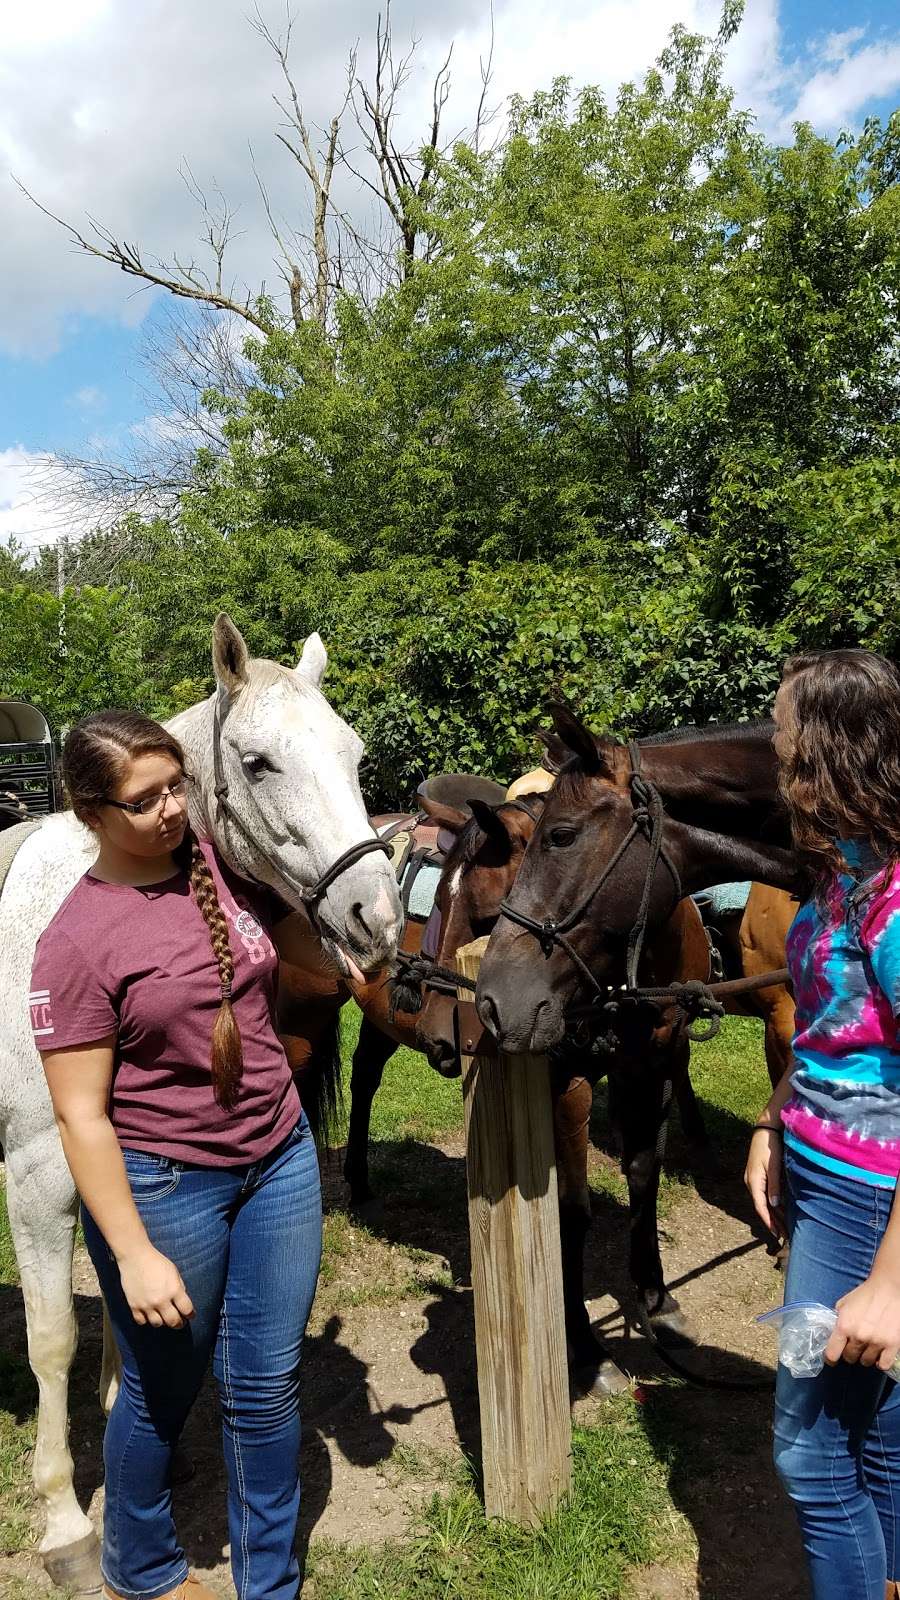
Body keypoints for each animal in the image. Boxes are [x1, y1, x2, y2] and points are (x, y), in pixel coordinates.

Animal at [0, 611, 398, 1587]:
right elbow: (52, 1338)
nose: (376, 917)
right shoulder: (38, 1179)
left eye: (354, 753)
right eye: (258, 763)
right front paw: (65, 1521)